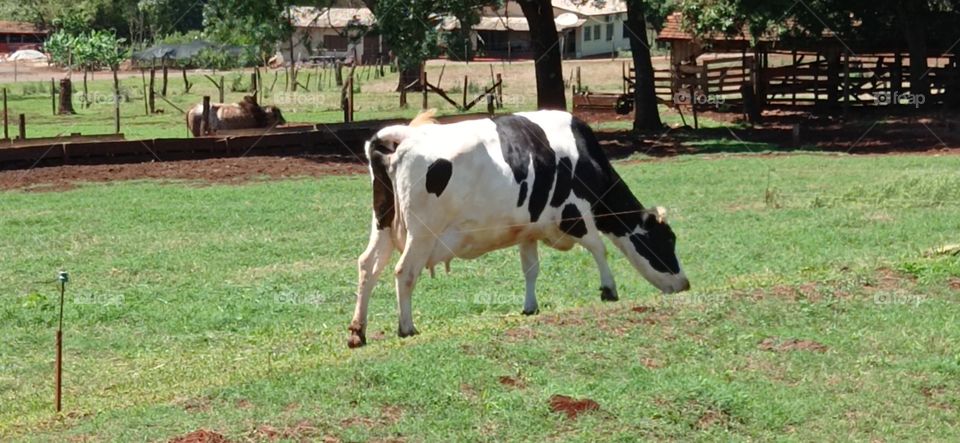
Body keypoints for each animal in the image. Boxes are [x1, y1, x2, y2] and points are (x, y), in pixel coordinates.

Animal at [348, 110, 690, 348]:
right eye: (665, 241)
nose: (684, 284)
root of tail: (402, 137)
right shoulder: (573, 215)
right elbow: (599, 247)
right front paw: (609, 289)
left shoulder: (528, 230)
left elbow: (530, 269)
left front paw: (530, 307)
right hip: (421, 234)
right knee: (404, 272)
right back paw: (406, 327)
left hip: (382, 225)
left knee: (368, 266)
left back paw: (357, 331)